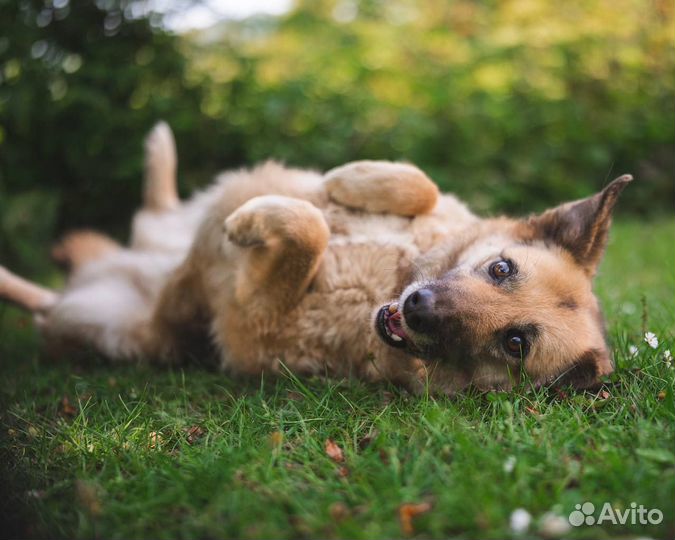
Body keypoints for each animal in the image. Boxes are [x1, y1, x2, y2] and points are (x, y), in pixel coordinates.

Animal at [0, 121, 632, 392]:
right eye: (501, 269)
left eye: (515, 344)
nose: (419, 307)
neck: (389, 275)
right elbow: (419, 184)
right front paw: (351, 178)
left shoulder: (251, 319)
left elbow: (307, 233)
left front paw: (254, 222)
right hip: (160, 232)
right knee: (158, 205)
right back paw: (163, 149)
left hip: (98, 322)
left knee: (44, 300)